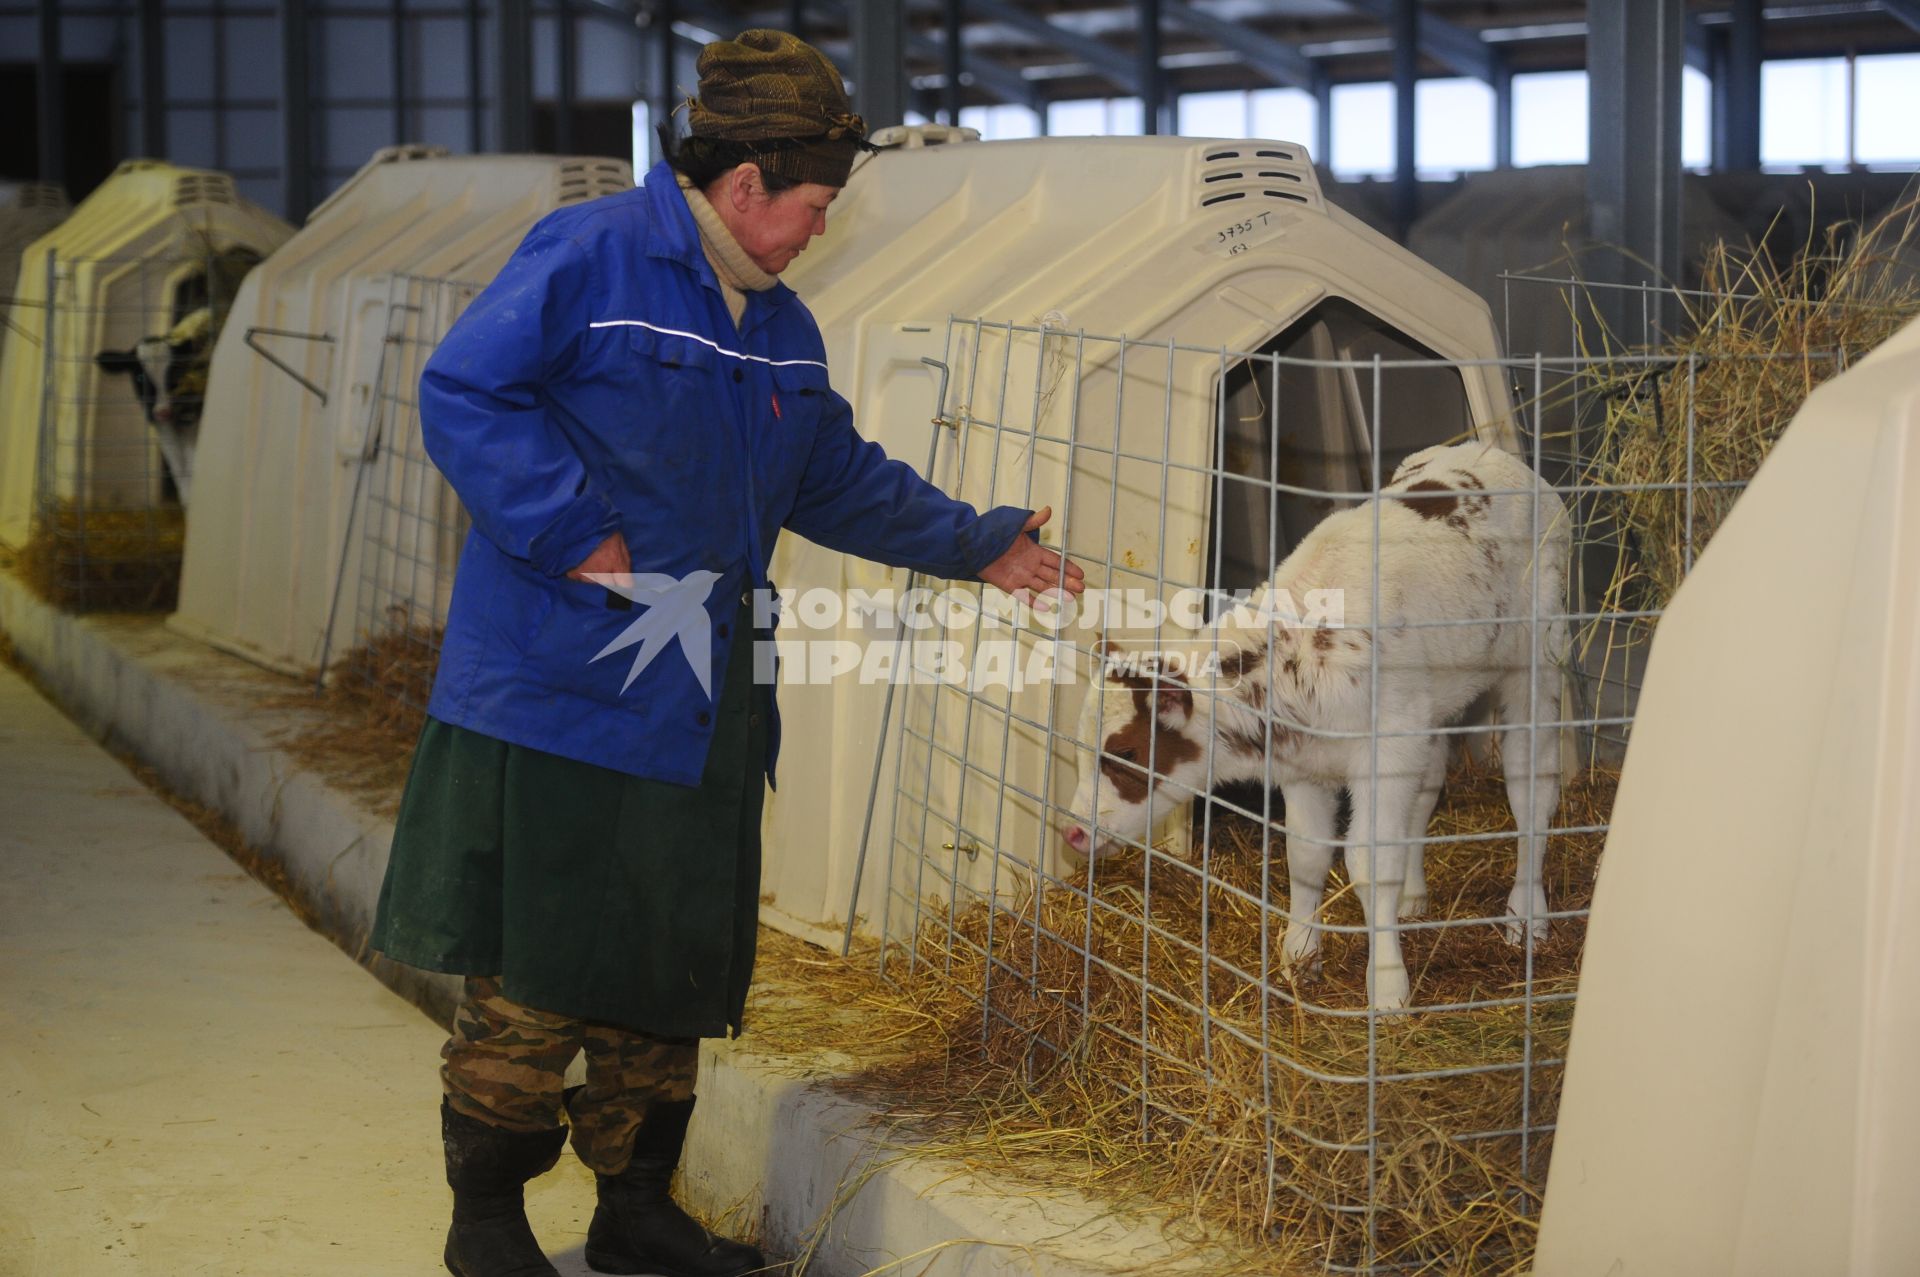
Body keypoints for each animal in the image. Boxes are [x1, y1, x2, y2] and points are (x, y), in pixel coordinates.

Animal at [1067, 443, 1574, 1013]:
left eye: (1126, 753)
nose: (1074, 831)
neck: (1300, 653)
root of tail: (1495, 455)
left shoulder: (1385, 751)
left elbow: (1370, 863)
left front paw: (1388, 988)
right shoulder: (1308, 764)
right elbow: (1306, 856)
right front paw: (1299, 956)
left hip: (1537, 662)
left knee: (1532, 790)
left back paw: (1526, 917)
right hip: (1434, 702)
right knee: (1429, 785)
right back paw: (1415, 897)